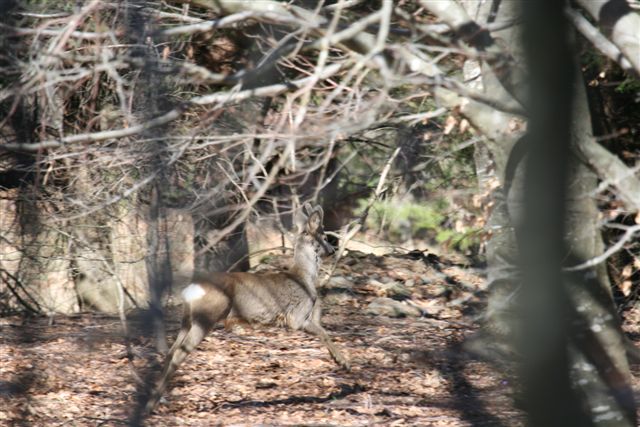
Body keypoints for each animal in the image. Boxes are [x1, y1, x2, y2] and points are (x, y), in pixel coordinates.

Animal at [144, 204, 348, 414]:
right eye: (324, 237)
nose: (333, 250)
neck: (304, 278)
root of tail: (192, 289)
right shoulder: (297, 317)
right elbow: (324, 333)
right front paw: (343, 362)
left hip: (188, 319)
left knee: (171, 351)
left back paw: (155, 401)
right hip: (207, 316)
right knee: (178, 352)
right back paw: (153, 404)